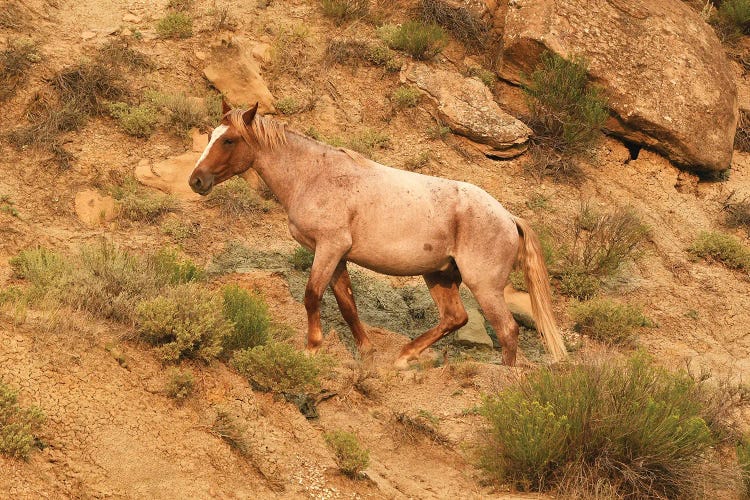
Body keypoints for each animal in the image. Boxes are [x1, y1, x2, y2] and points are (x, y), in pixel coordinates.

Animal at [189, 101, 568, 368]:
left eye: (229, 140)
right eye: (210, 137)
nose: (196, 180)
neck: (312, 175)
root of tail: (508, 216)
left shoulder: (329, 248)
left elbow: (312, 296)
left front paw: (312, 348)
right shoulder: (336, 255)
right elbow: (346, 304)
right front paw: (366, 350)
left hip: (484, 287)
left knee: (507, 331)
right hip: (440, 276)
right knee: (455, 318)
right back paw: (404, 357)